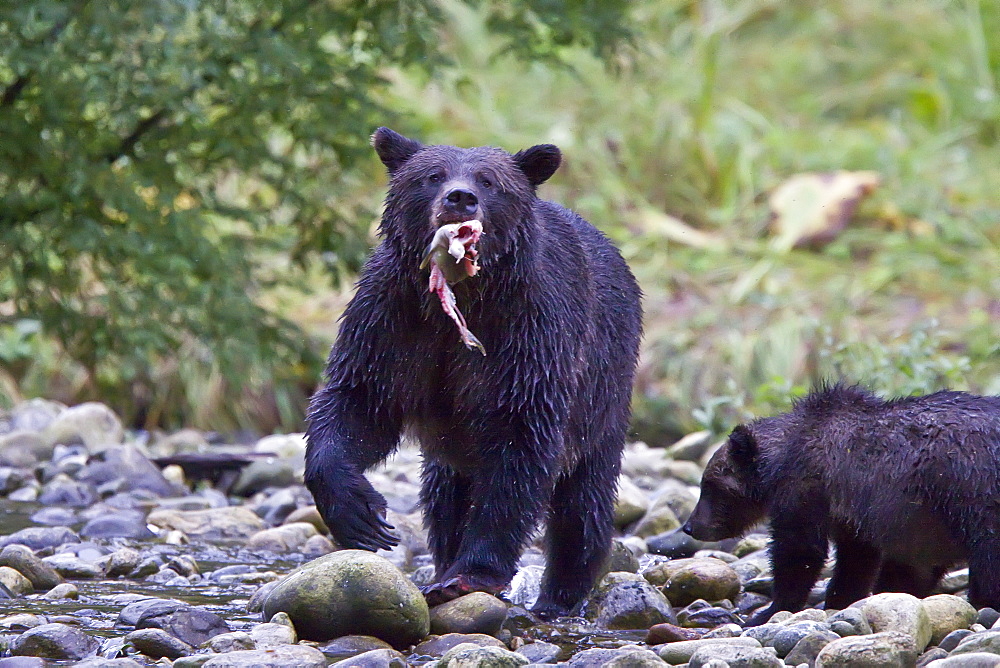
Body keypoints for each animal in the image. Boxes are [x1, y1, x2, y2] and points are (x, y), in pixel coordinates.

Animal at [684, 384, 1000, 624]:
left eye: (709, 486)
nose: (690, 526)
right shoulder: (855, 515)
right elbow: (856, 561)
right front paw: (842, 600)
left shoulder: (806, 491)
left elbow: (799, 551)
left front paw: (769, 610)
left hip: (970, 492)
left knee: (987, 558)